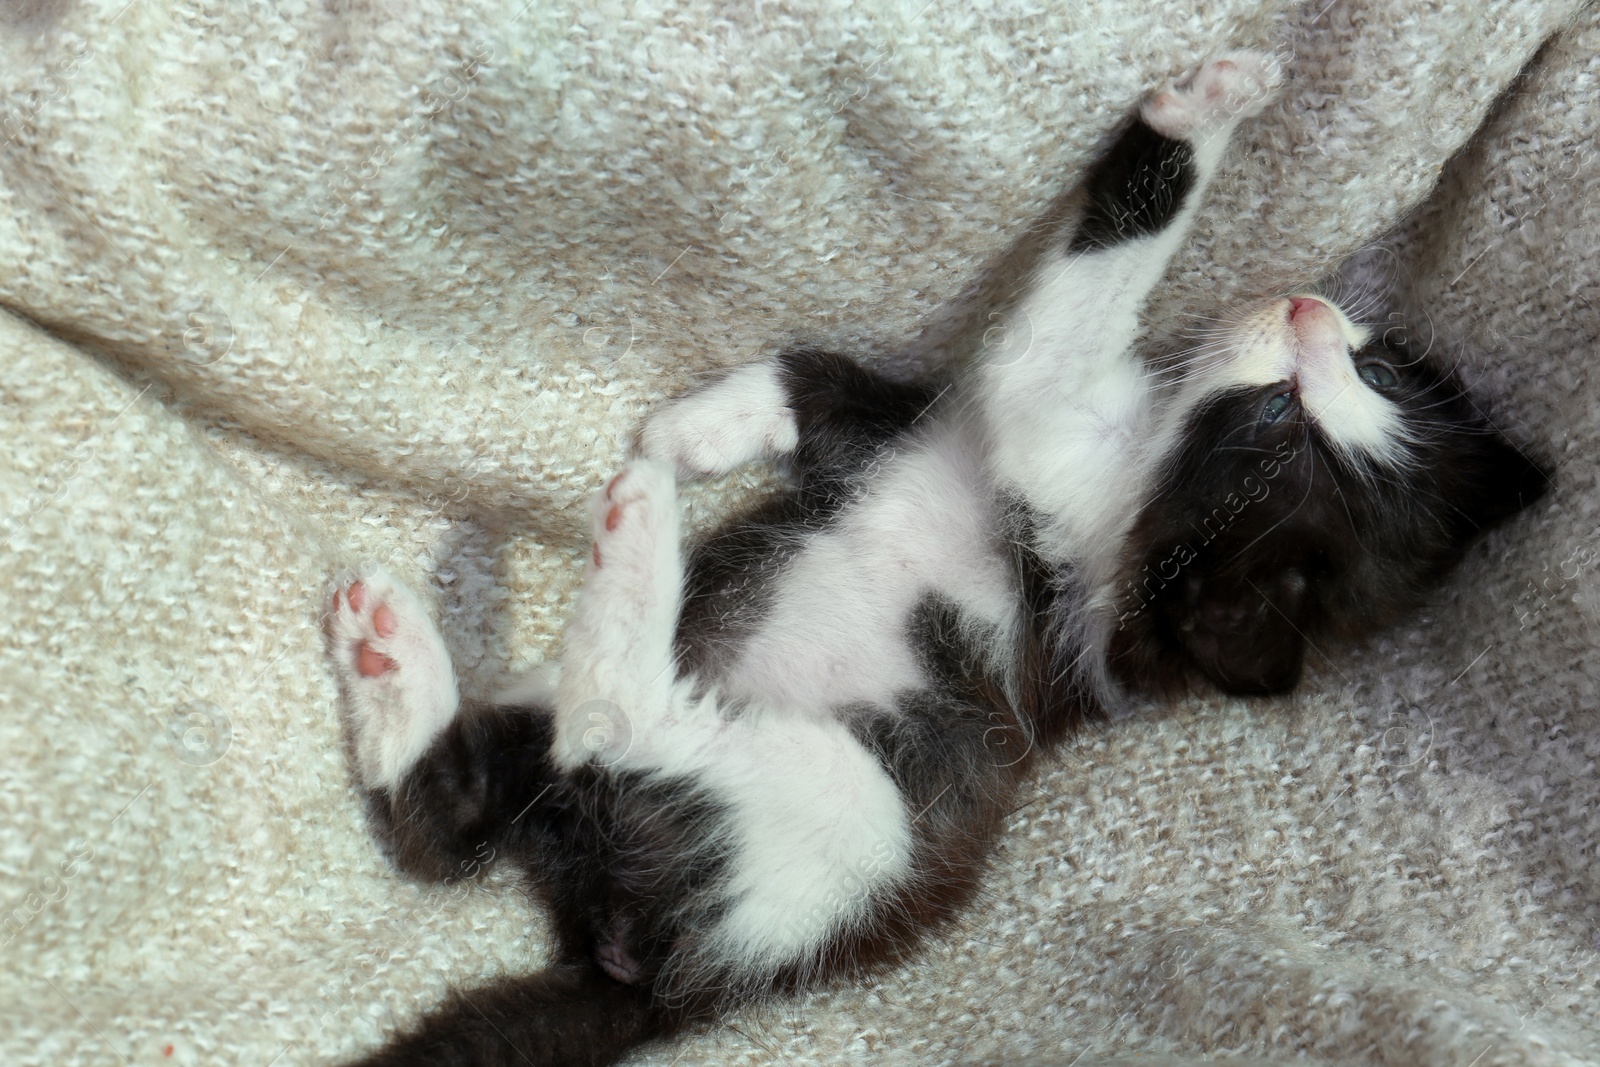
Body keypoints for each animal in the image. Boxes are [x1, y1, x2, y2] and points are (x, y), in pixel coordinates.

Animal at [328, 47, 1548, 1067]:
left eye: (1273, 430)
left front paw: (1198, 114)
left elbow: (1070, 306)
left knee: (611, 722)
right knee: (450, 817)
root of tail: (648, 981)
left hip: (847, 817)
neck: (1142, 457)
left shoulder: (1044, 439)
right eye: (1366, 374)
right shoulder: (906, 425)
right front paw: (698, 425)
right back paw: (392, 659)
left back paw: (636, 547)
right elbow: (821, 377)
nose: (1309, 309)